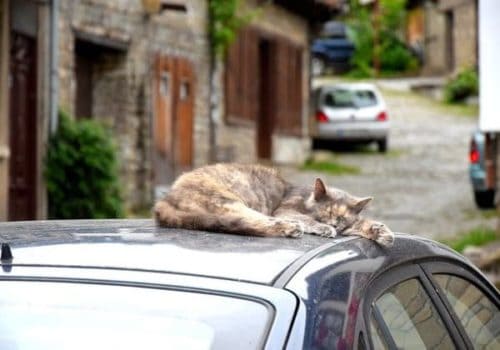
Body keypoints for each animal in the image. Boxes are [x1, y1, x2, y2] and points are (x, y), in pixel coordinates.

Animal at [154, 163, 396, 247]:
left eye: (342, 217)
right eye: (326, 211)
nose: (335, 225)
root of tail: (164, 201)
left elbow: (361, 224)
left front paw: (381, 231)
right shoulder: (285, 209)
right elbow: (307, 218)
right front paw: (324, 227)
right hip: (228, 200)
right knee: (249, 221)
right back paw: (290, 228)